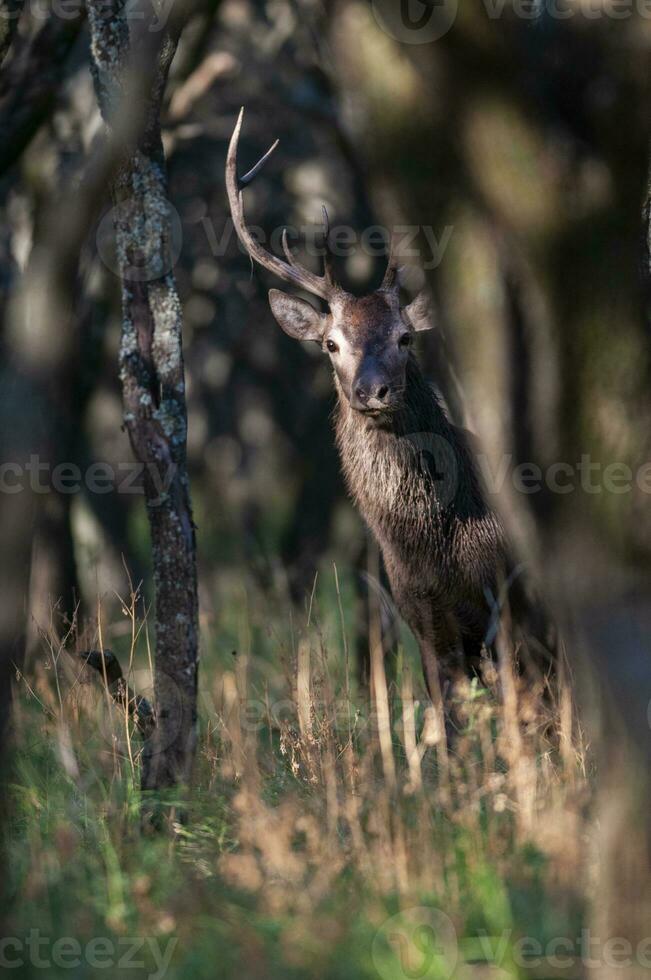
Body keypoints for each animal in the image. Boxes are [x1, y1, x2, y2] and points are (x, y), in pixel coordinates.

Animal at [227, 109, 544, 704]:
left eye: (404, 337)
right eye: (331, 344)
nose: (371, 391)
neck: (436, 550)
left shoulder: (511, 608)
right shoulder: (422, 619)